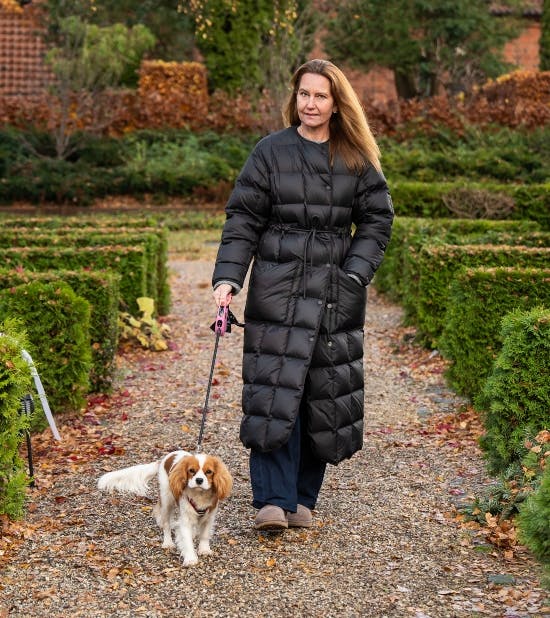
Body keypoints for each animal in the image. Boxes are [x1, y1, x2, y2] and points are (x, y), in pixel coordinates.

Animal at [97, 448, 233, 564]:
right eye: (191, 471)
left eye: (209, 472)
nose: (199, 480)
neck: (199, 495)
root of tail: (164, 458)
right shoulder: (185, 519)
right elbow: (186, 539)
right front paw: (190, 558)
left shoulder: (209, 517)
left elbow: (204, 535)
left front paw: (204, 549)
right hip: (166, 500)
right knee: (166, 524)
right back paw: (168, 542)